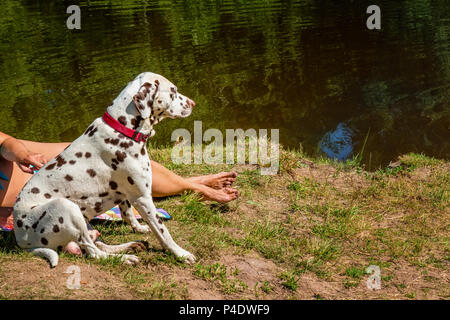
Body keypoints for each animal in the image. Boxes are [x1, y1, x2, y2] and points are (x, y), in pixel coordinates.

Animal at [13, 72, 196, 268]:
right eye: (173, 91)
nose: (192, 103)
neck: (122, 130)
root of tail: (21, 240)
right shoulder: (143, 198)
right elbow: (163, 231)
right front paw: (180, 254)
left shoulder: (125, 195)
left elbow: (128, 214)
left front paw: (139, 228)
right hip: (67, 208)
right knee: (94, 252)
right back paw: (125, 257)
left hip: (85, 222)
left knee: (98, 245)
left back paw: (131, 246)